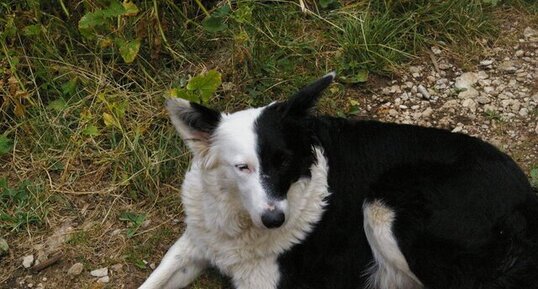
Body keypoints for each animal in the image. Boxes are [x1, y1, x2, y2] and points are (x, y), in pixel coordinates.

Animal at [139, 73, 536, 288]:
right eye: (242, 168)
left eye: (284, 162)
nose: (275, 220)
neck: (241, 220)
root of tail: (527, 197)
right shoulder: (194, 245)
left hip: (386, 204)